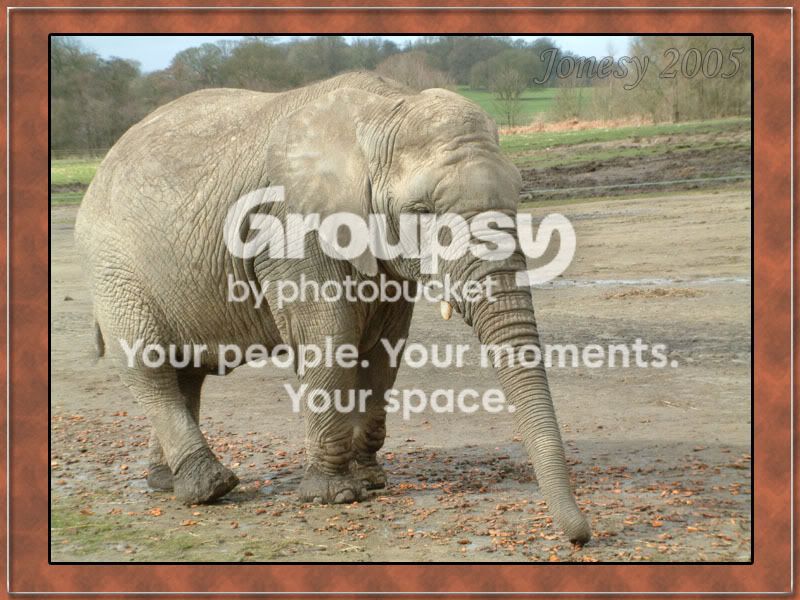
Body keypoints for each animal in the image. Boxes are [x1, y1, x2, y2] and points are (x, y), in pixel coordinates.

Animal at [75, 71, 591, 544]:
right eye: (422, 212)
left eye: (519, 196)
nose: (580, 537)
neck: (384, 110)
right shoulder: (289, 227)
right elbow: (330, 337)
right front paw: (334, 496)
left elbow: (384, 348)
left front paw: (370, 482)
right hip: (113, 268)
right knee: (149, 364)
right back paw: (211, 488)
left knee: (186, 373)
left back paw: (166, 483)